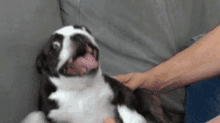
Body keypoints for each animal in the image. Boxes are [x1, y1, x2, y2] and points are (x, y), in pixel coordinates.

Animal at [35, 25, 172, 123]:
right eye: (55, 46)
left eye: (84, 29)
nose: (77, 35)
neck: (81, 87)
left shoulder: (119, 87)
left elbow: (126, 102)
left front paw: (133, 119)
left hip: (145, 93)